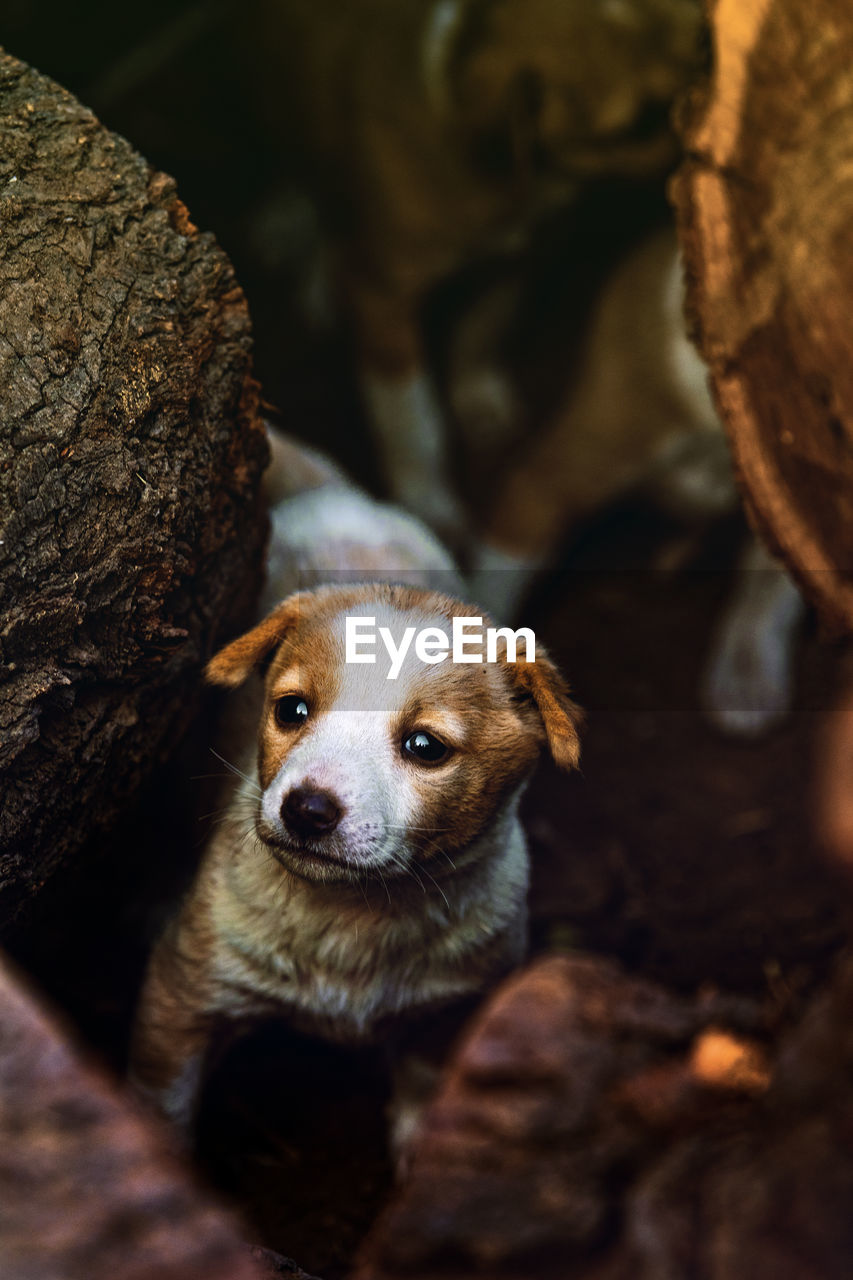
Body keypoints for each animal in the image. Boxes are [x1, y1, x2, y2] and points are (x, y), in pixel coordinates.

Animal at [129, 435, 578, 1136]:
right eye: (291, 710)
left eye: (425, 746)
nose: (307, 809)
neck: (354, 916)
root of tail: (341, 498)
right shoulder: (184, 993)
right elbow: (159, 1111)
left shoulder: (451, 1014)